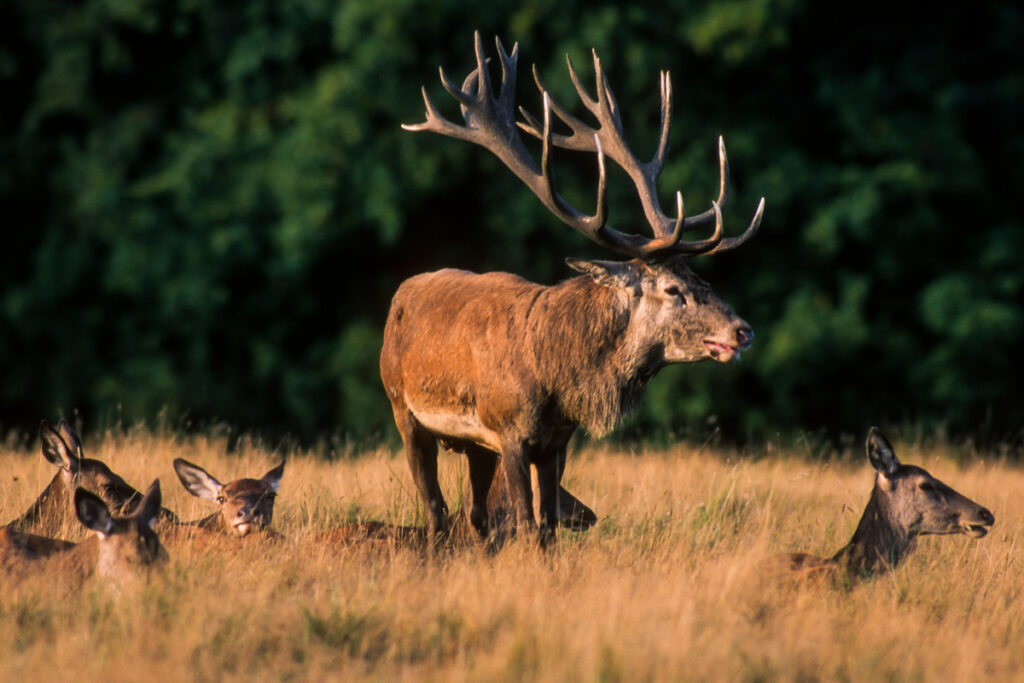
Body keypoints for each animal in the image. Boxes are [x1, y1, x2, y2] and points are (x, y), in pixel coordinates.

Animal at [381, 32, 764, 547]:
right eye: (672, 289)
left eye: (703, 279)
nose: (742, 331)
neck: (556, 380)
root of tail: (402, 292)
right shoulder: (509, 430)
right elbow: (526, 524)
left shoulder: (557, 442)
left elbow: (547, 528)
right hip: (403, 407)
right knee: (436, 510)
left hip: (472, 443)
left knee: (475, 516)